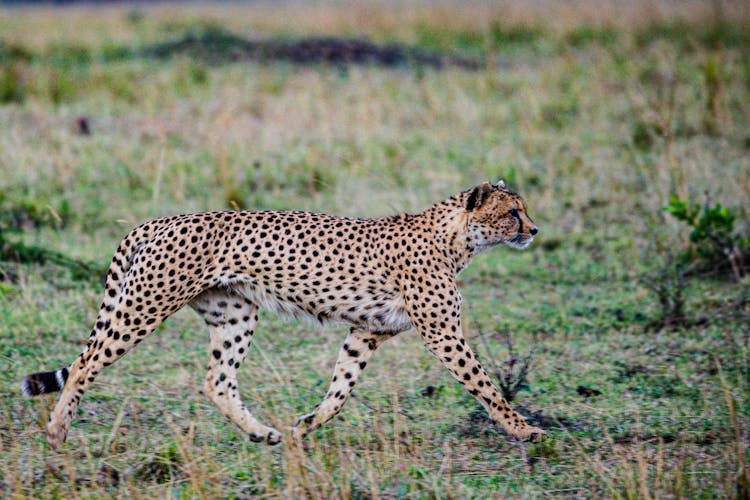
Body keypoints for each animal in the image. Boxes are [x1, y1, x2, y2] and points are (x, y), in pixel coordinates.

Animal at [20, 182, 544, 448]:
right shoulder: (442, 332)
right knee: (85, 362)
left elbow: (340, 390)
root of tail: (158, 221)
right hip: (145, 305)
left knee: (217, 381)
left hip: (234, 314)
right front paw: (524, 429)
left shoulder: (366, 331)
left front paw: (306, 425)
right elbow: (485, 385)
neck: (455, 237)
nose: (535, 230)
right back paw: (58, 431)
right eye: (512, 212)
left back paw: (262, 433)